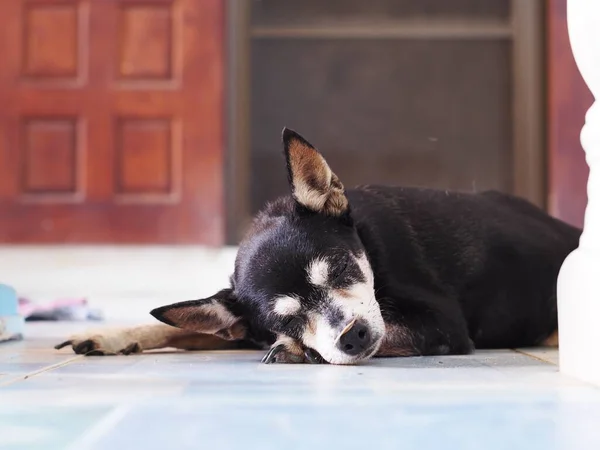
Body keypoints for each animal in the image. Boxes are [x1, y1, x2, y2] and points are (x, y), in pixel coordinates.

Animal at [55, 128, 580, 364]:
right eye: (286, 318)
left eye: (344, 268)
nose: (353, 336)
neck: (368, 245)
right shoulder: (243, 327)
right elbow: (177, 328)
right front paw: (112, 335)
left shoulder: (442, 324)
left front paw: (299, 350)